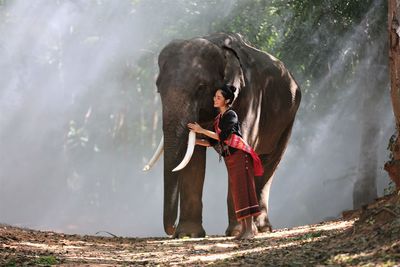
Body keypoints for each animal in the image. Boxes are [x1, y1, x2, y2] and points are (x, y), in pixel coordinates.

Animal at [144, 32, 300, 238]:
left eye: (201, 87)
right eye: (158, 88)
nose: (171, 231)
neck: (216, 44)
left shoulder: (250, 97)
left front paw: (234, 232)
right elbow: (194, 160)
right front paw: (188, 234)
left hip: (289, 118)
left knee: (270, 164)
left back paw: (259, 228)